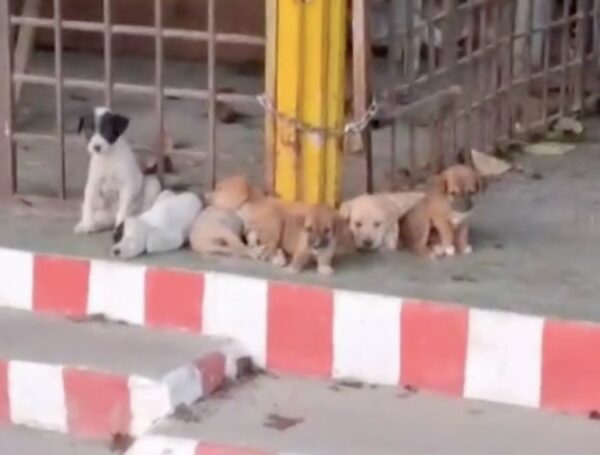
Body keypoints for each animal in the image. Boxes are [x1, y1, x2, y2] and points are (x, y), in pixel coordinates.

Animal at [73, 107, 161, 235]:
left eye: (107, 131)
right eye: (89, 130)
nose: (96, 147)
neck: (108, 157)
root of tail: (110, 217)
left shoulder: (127, 186)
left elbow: (123, 209)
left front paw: (121, 225)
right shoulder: (93, 184)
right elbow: (88, 206)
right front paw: (87, 224)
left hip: (152, 184)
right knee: (94, 212)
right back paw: (88, 225)